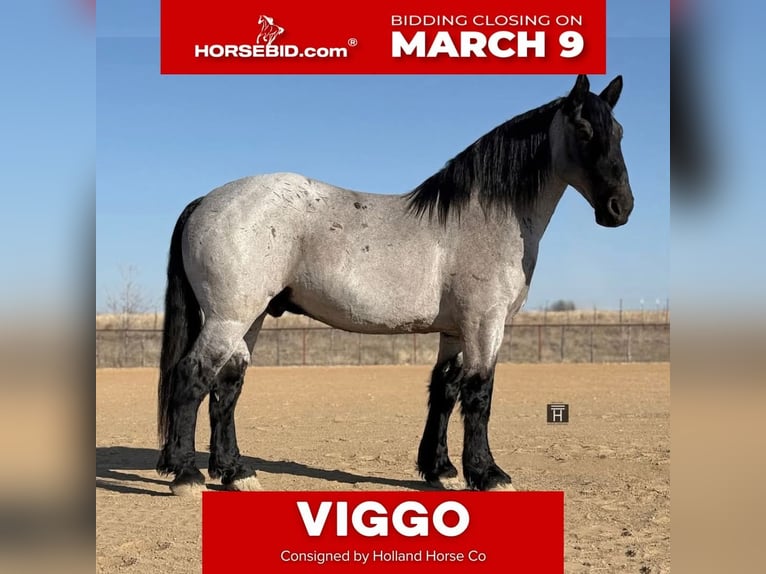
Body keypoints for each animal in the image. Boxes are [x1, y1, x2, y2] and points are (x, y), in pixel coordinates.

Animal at [156, 75, 633, 495]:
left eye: (620, 131)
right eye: (584, 129)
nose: (620, 207)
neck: (484, 219)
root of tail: (207, 201)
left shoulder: (455, 330)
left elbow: (445, 390)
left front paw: (441, 470)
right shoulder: (485, 323)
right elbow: (479, 394)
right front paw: (489, 474)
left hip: (249, 317)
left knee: (227, 386)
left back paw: (236, 472)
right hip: (228, 317)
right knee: (193, 377)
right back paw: (187, 475)